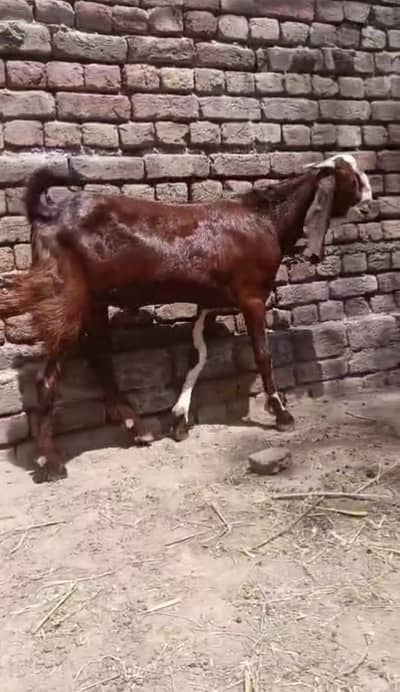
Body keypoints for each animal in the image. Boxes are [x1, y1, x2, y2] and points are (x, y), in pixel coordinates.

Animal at [0, 154, 372, 483]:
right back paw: (50, 462)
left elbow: (197, 357)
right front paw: (282, 414)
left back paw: (138, 429)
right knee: (48, 379)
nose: (370, 202)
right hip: (66, 297)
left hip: (94, 301)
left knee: (100, 361)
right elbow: (263, 355)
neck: (266, 219)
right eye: (351, 178)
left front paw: (179, 419)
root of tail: (48, 211)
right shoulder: (252, 296)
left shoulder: (207, 301)